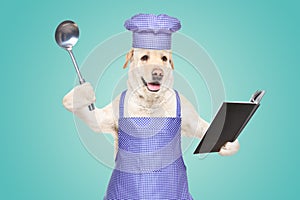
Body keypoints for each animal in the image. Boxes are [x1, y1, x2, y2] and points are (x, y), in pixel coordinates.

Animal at [62, 48, 239, 156]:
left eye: (164, 58)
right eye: (144, 57)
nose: (158, 73)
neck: (150, 104)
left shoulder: (190, 117)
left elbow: (206, 130)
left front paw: (229, 145)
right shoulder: (106, 116)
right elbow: (87, 112)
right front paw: (83, 92)